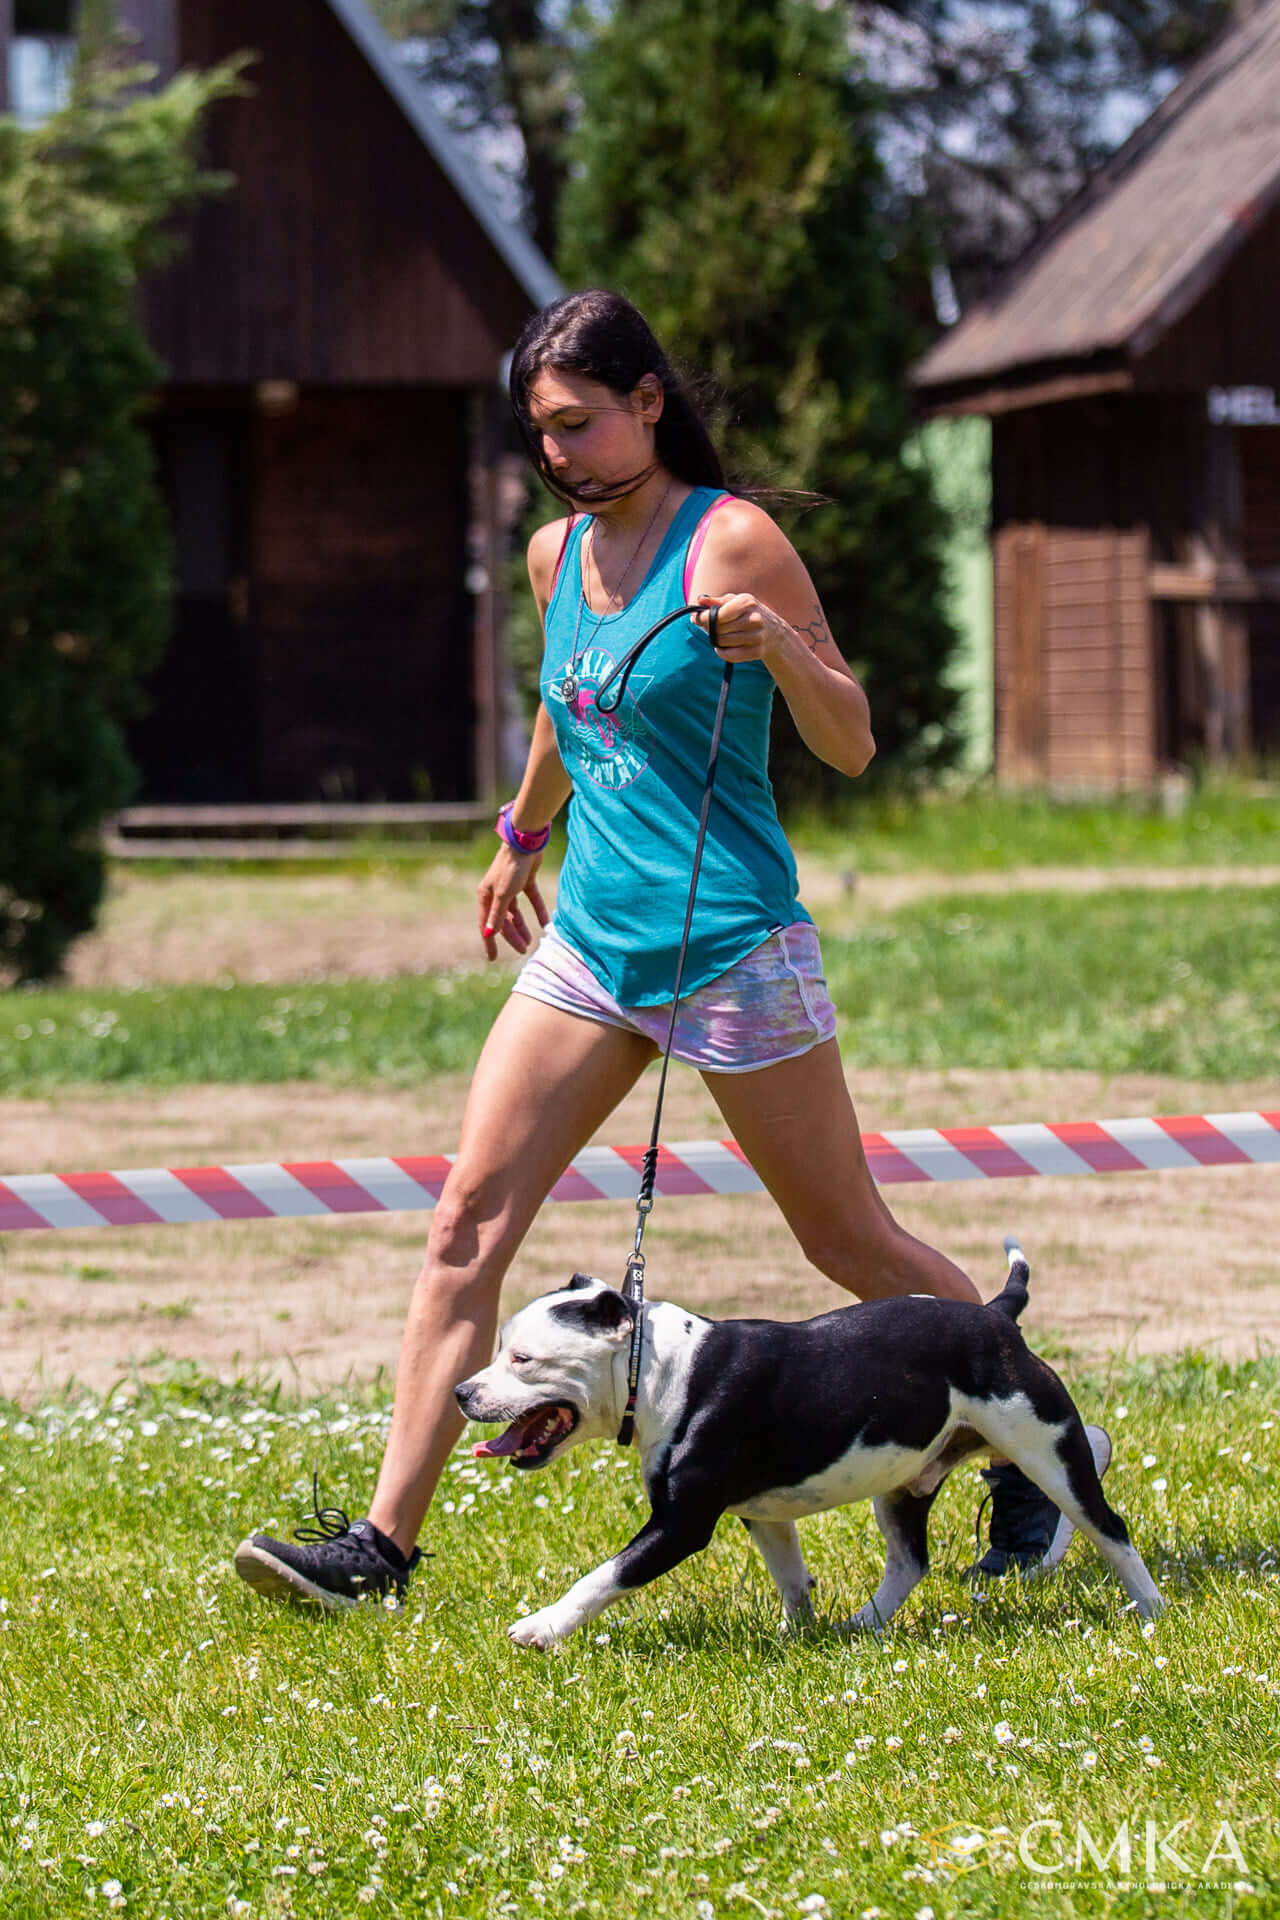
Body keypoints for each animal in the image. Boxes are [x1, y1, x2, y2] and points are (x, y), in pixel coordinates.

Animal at [454, 1244, 1166, 1651]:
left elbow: (602, 1577)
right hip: (904, 1483)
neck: (653, 1371)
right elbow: (792, 1580)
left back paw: (1152, 1609)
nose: (462, 1392)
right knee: (909, 1561)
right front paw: (801, 1638)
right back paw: (861, 1628)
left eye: (523, 1359)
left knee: (1109, 1526)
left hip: (1046, 1451)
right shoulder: (761, 1513)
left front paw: (541, 1628)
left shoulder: (680, 1525)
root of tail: (997, 1315)